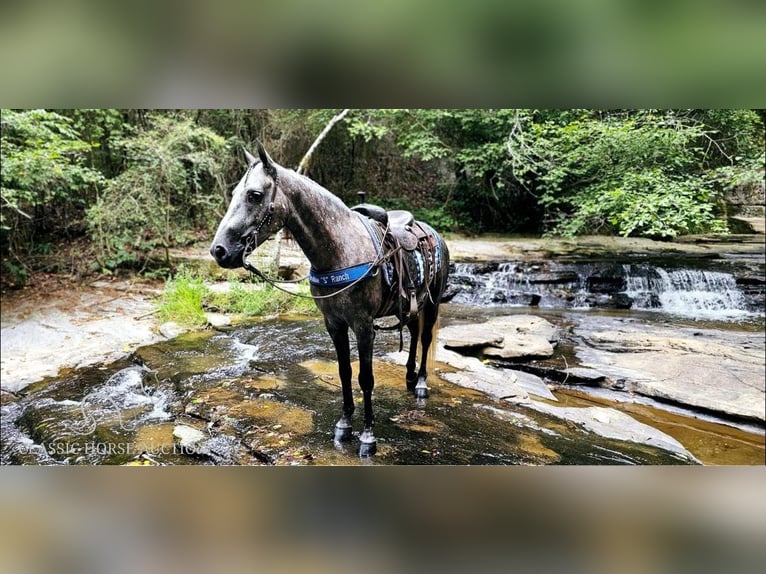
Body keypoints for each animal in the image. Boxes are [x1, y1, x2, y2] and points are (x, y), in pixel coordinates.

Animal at [210, 144, 450, 460]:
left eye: (255, 195)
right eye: (236, 192)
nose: (219, 250)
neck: (339, 250)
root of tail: (431, 232)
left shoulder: (363, 326)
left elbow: (365, 378)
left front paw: (368, 437)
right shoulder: (334, 323)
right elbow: (344, 372)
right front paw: (344, 425)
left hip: (432, 304)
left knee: (424, 338)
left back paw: (421, 383)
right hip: (411, 304)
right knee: (411, 333)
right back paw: (409, 377)